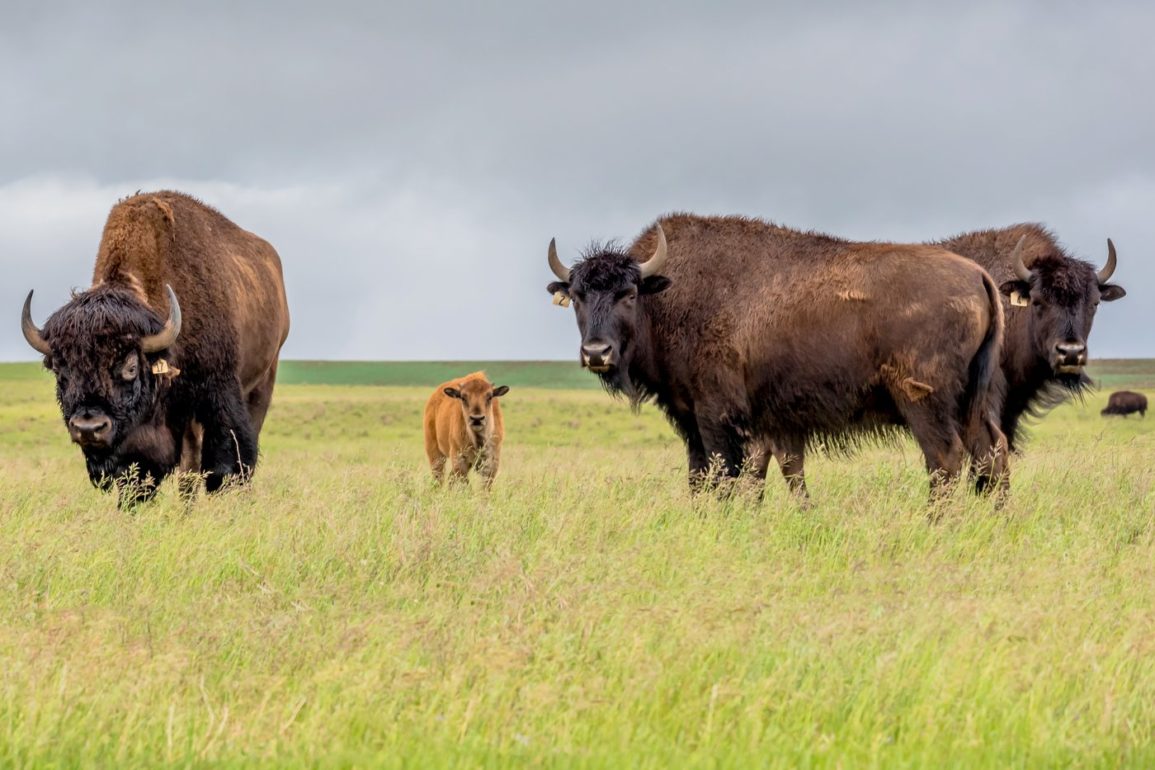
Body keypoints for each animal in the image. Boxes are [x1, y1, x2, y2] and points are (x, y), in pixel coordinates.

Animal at [20, 191, 291, 505]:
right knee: (189, 467)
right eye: (60, 370)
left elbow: (225, 464)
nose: (89, 428)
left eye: (131, 366)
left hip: (264, 378)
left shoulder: (218, 391)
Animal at [545, 213, 1007, 496]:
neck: (667, 294)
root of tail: (978, 276)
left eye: (628, 294)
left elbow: (724, 477)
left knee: (945, 459)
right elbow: (704, 477)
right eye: (579, 296)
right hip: (973, 401)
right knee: (991, 452)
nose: (596, 352)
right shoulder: (700, 420)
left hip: (924, 403)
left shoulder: (717, 416)